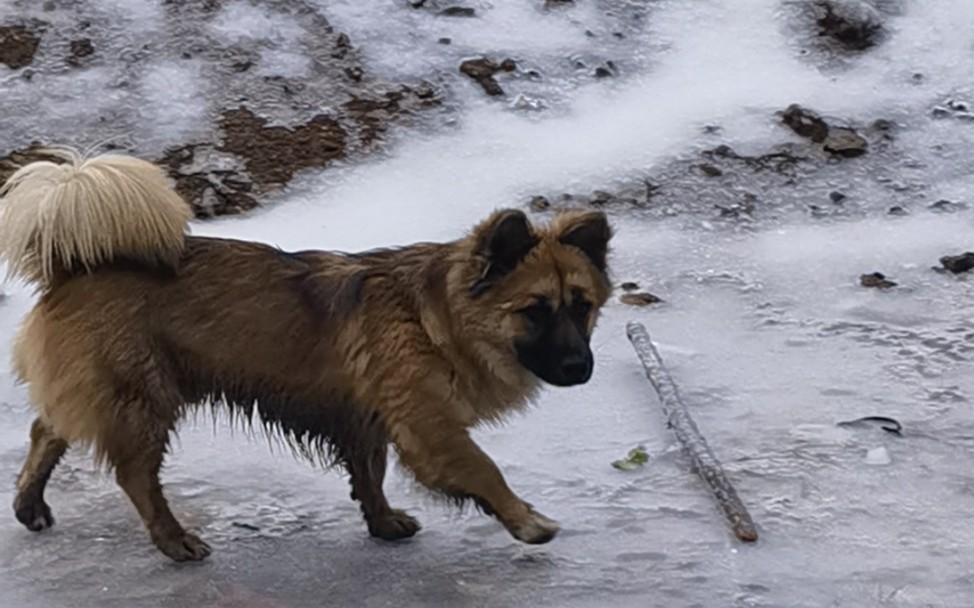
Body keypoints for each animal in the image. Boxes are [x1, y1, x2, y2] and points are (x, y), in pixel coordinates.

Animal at [0, 146, 612, 560]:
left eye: (582, 307)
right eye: (535, 310)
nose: (581, 368)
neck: (431, 316)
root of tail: (76, 266)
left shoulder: (368, 417)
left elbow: (370, 475)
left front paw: (382, 522)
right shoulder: (428, 425)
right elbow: (483, 471)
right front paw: (526, 520)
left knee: (47, 430)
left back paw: (30, 503)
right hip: (143, 399)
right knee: (134, 476)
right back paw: (173, 539)